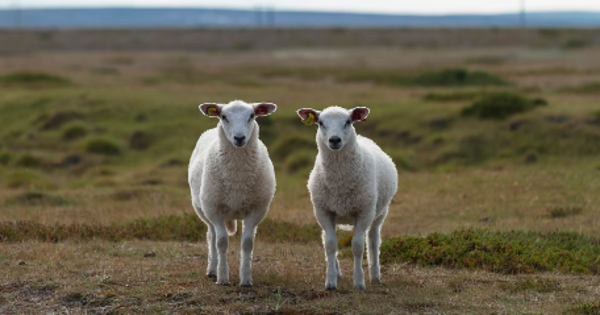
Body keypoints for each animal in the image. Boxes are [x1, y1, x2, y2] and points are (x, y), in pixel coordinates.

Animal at [189, 100, 278, 288]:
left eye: (252, 116)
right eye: (224, 117)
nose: (239, 138)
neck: (238, 176)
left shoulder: (256, 210)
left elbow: (247, 243)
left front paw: (246, 279)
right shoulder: (214, 209)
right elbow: (221, 242)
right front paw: (223, 277)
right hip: (204, 209)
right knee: (212, 236)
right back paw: (212, 270)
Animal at [296, 106, 398, 292]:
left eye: (348, 121)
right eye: (321, 123)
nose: (334, 140)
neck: (340, 181)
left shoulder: (364, 212)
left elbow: (357, 246)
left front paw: (359, 282)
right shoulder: (323, 211)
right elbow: (330, 244)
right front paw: (330, 282)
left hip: (379, 212)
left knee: (373, 240)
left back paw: (375, 276)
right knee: (326, 239)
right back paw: (337, 272)